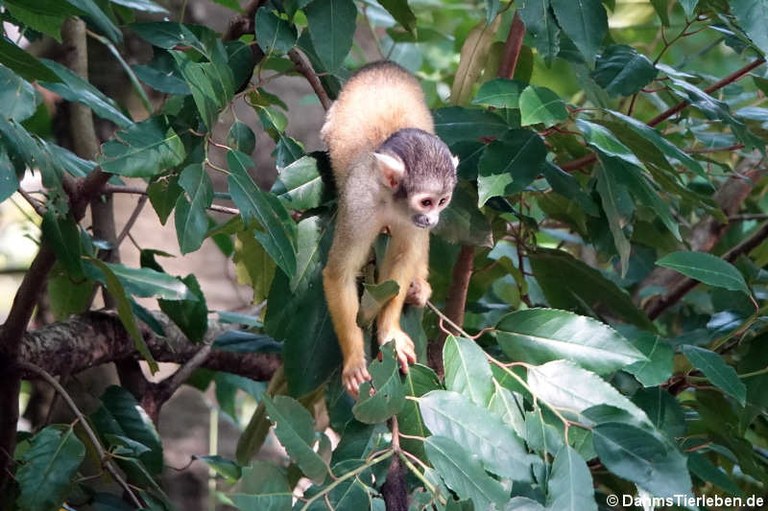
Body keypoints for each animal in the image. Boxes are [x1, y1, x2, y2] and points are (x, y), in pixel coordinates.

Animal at [322, 63, 460, 396]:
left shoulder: (412, 221)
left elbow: (403, 260)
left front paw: (390, 332)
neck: (391, 202)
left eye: (442, 201)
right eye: (426, 201)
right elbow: (340, 273)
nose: (432, 219)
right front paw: (354, 360)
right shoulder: (359, 203)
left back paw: (418, 286)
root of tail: (384, 64)